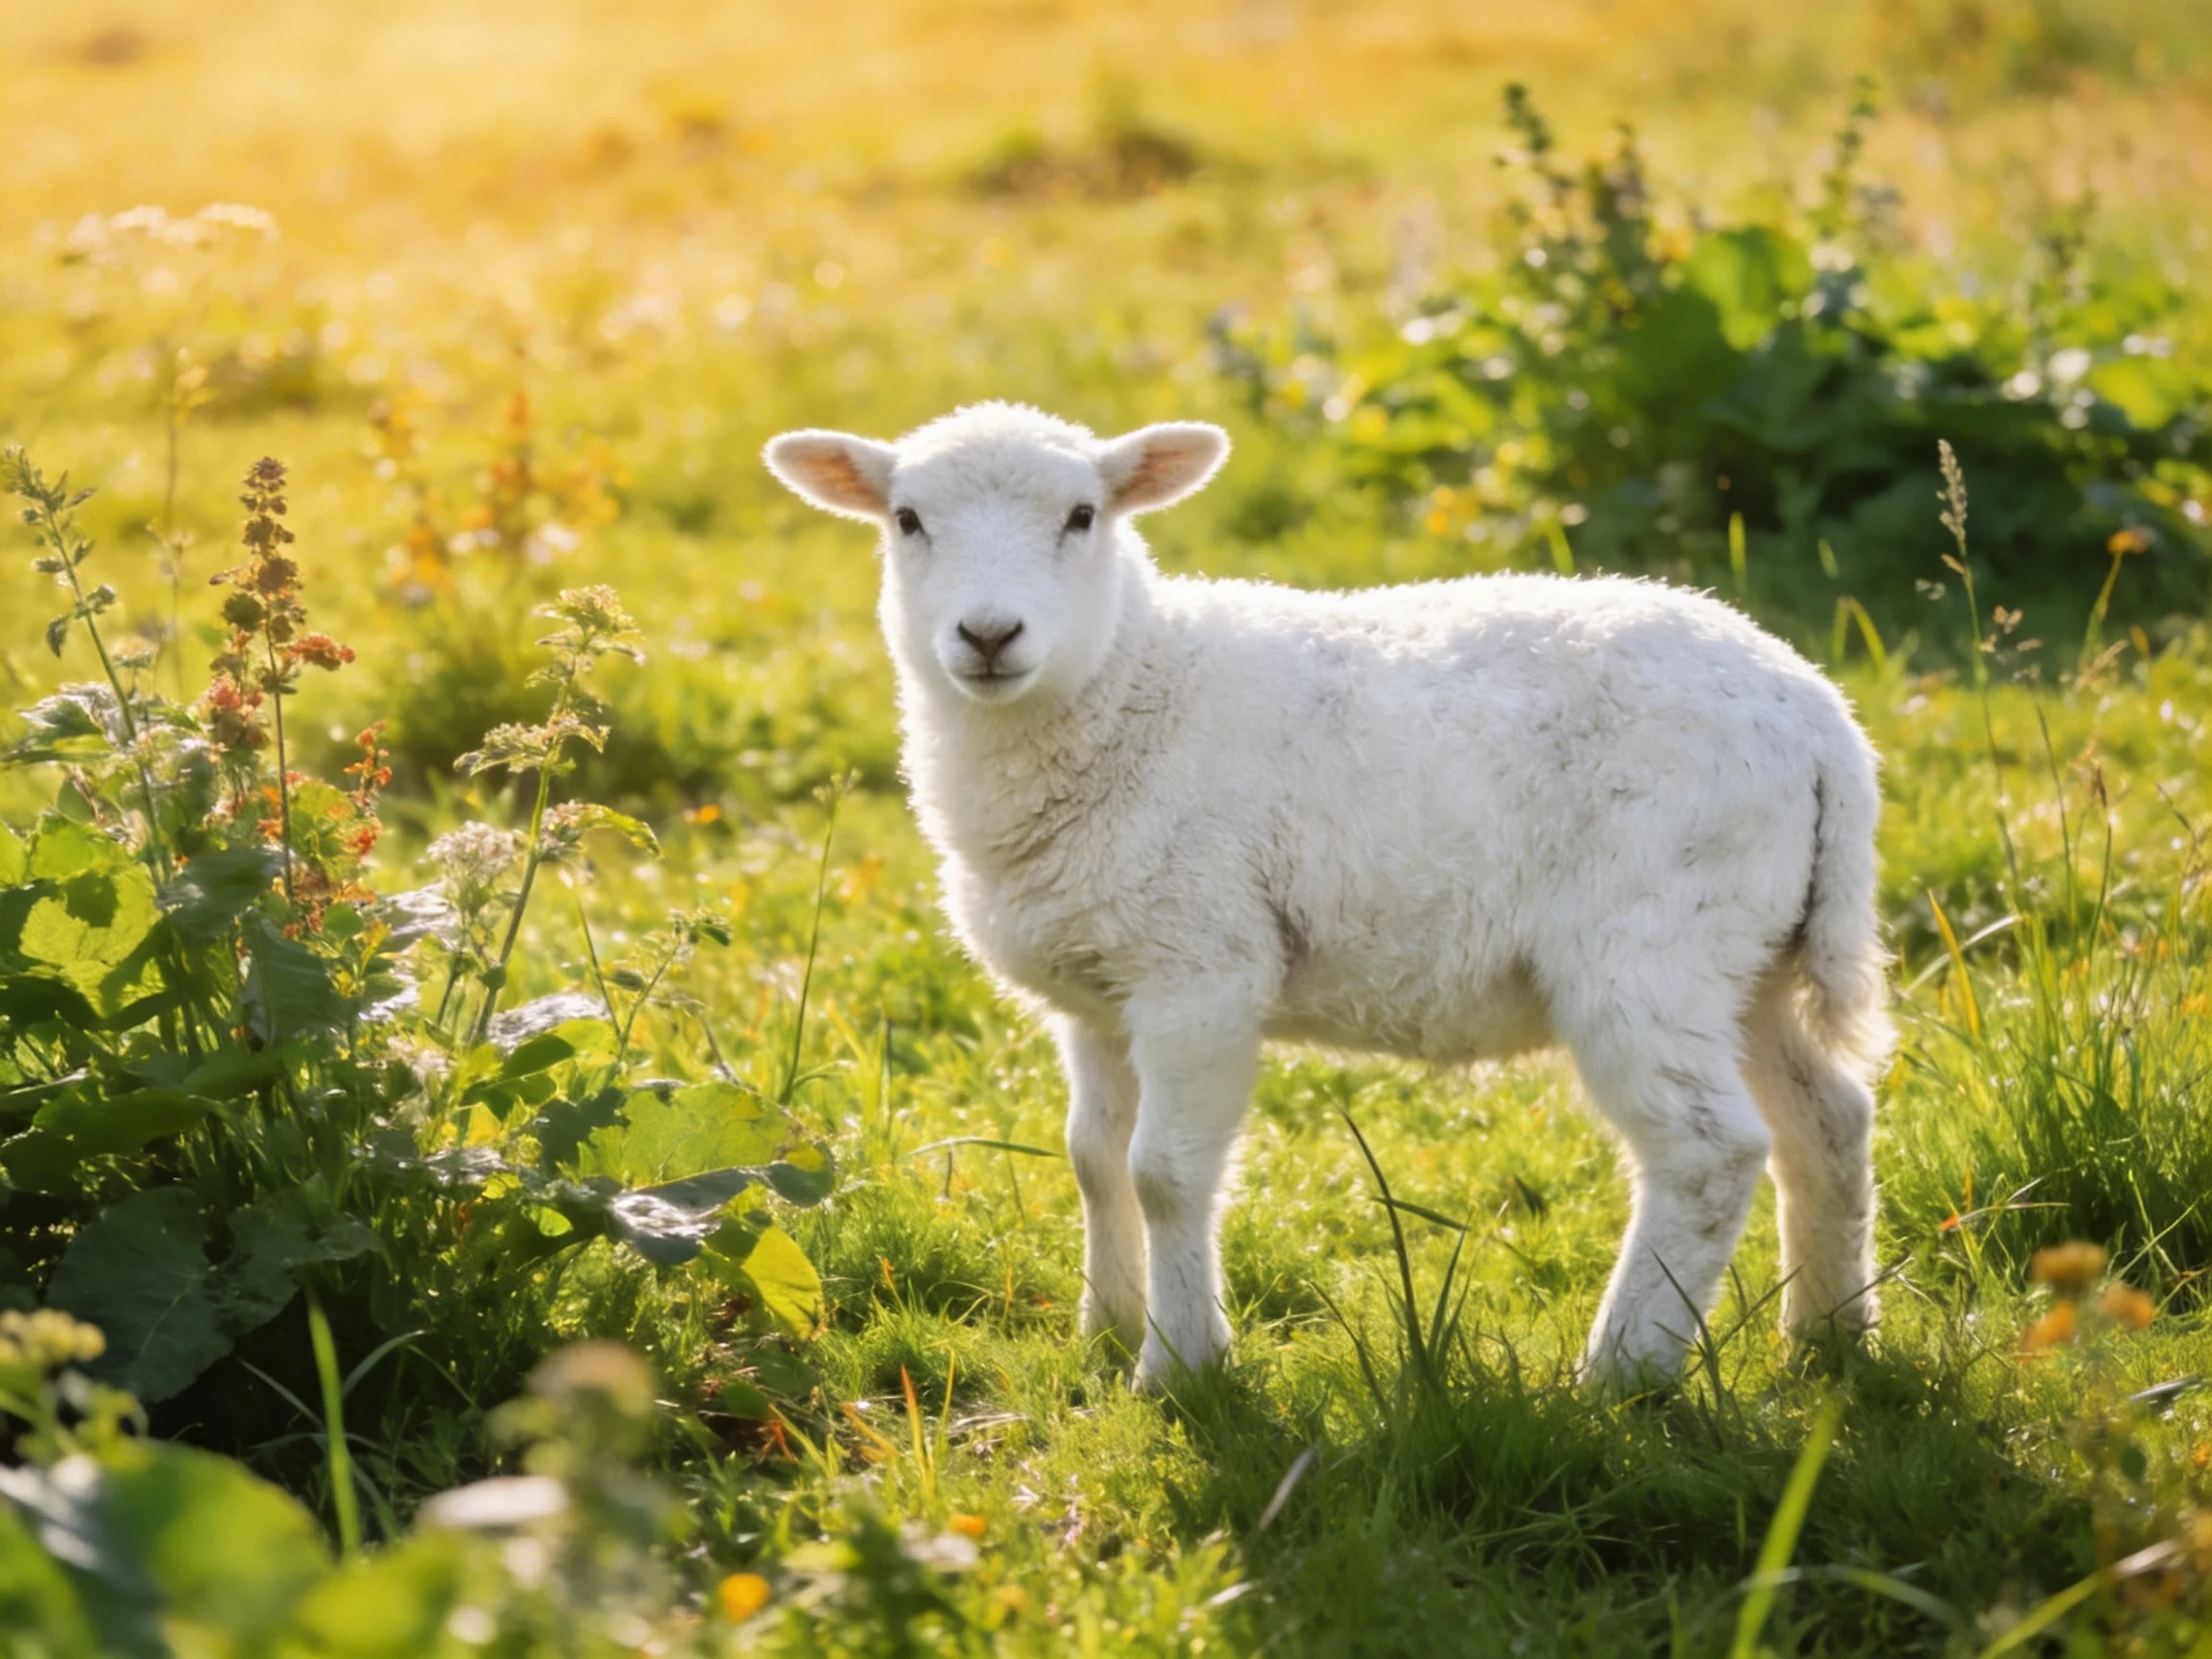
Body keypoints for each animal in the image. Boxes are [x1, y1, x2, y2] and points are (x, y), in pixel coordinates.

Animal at [764, 401, 1889, 1394]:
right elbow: (1093, 1159)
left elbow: (1163, 1172)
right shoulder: (1098, 984)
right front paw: (1105, 1327)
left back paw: (1621, 1374)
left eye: (1083, 515)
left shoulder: (1202, 968)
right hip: (1748, 952)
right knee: (1827, 1117)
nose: (990, 634)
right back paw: (1829, 1337)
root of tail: (1821, 715)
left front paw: (1179, 1369)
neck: (1132, 689)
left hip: (1652, 938)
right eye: (908, 520)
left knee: (1707, 1150)